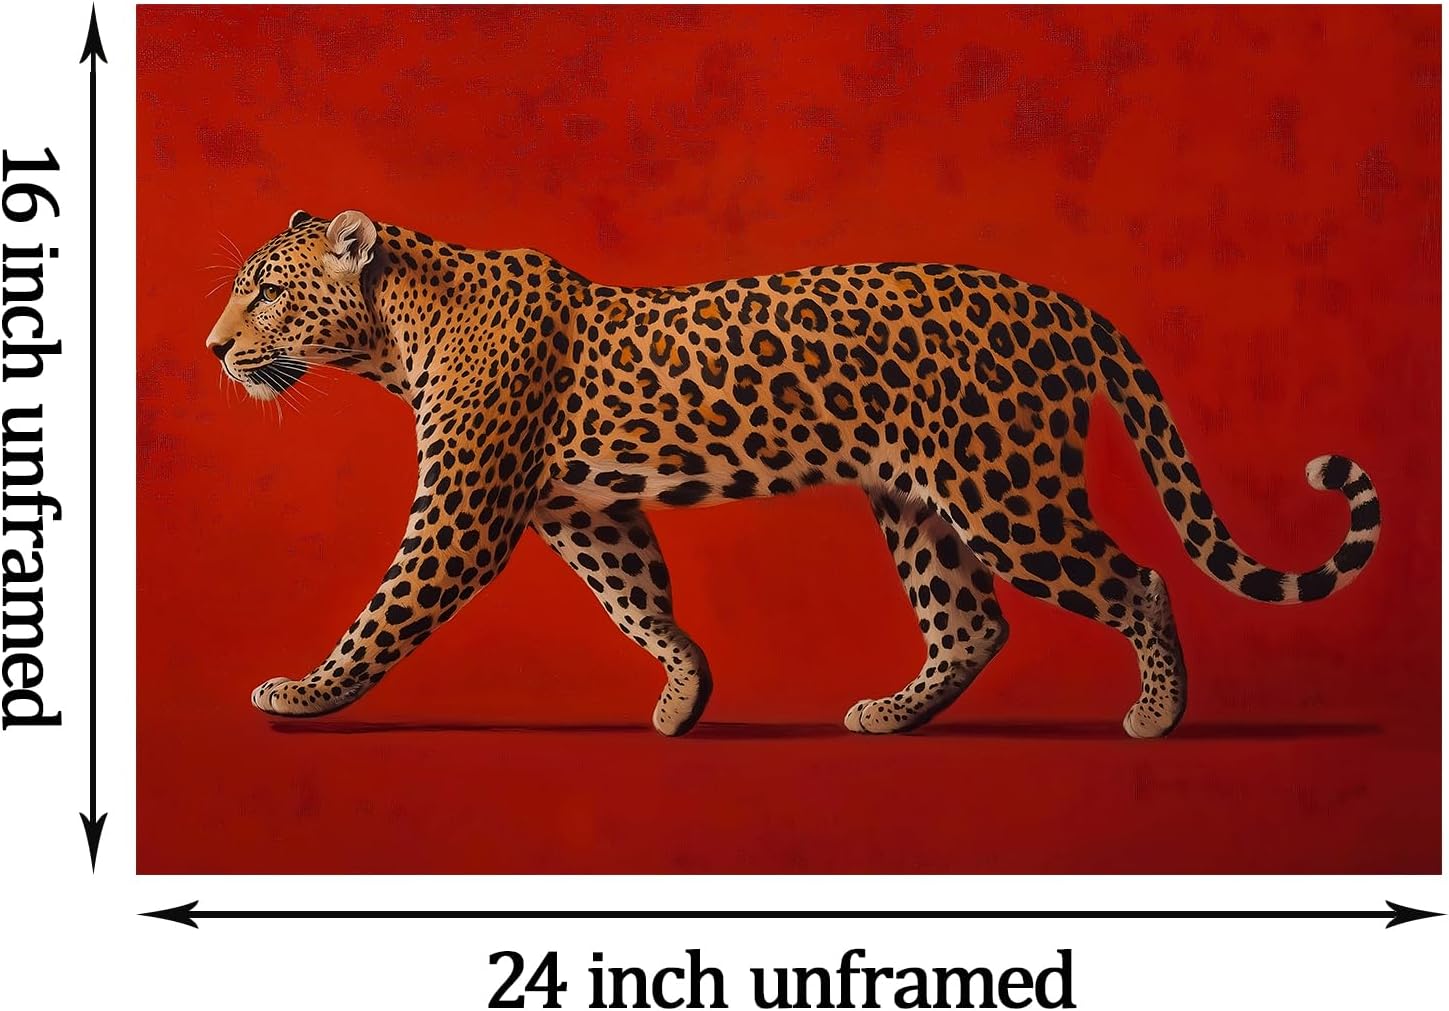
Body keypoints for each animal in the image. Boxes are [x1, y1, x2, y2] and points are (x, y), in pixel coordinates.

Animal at [205, 209, 1380, 739]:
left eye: (265, 291)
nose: (213, 350)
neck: (397, 331)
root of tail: (1057, 301)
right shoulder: (582, 511)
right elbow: (638, 602)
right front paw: (685, 694)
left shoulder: (461, 515)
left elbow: (383, 610)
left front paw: (304, 691)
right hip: (918, 503)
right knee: (972, 623)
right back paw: (893, 715)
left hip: (1005, 493)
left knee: (1137, 580)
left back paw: (1156, 716)